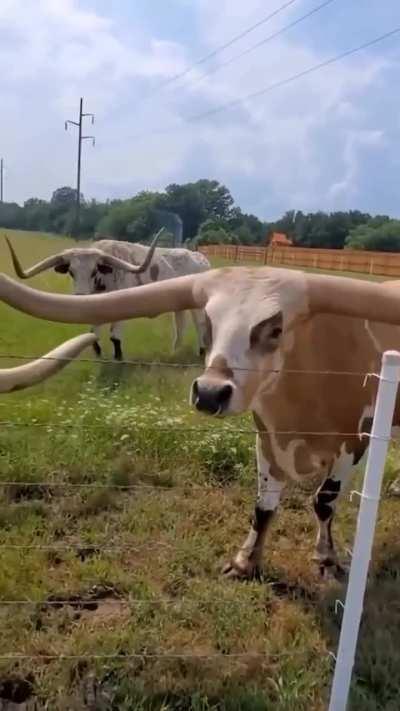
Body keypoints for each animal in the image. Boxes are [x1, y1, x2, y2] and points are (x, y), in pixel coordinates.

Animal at [1, 266, 400, 579]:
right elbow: (263, 506)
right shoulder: (267, 438)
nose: (209, 393)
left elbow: (324, 501)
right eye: (209, 323)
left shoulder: (355, 442)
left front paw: (326, 558)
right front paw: (244, 562)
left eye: (275, 329)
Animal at [5, 232, 210, 361]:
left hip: (197, 305)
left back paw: (201, 351)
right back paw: (174, 352)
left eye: (94, 270)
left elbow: (115, 337)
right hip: (179, 305)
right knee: (180, 325)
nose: (80, 297)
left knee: (200, 324)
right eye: (71, 272)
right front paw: (98, 355)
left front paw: (118, 358)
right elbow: (93, 333)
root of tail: (201, 258)